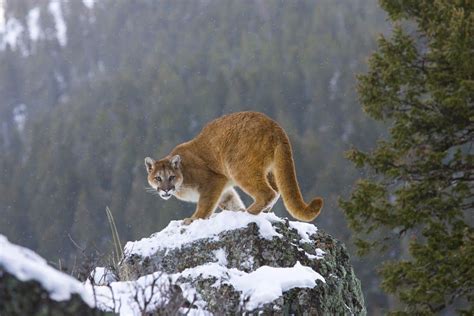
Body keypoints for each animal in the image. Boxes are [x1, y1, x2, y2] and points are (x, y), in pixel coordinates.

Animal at [144, 111, 322, 225]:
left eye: (171, 177)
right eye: (158, 178)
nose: (166, 189)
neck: (183, 176)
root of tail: (274, 125)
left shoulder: (214, 180)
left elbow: (204, 205)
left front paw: (193, 220)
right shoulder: (224, 190)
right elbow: (231, 202)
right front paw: (235, 211)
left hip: (238, 167)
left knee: (268, 192)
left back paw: (248, 213)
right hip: (270, 170)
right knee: (276, 190)